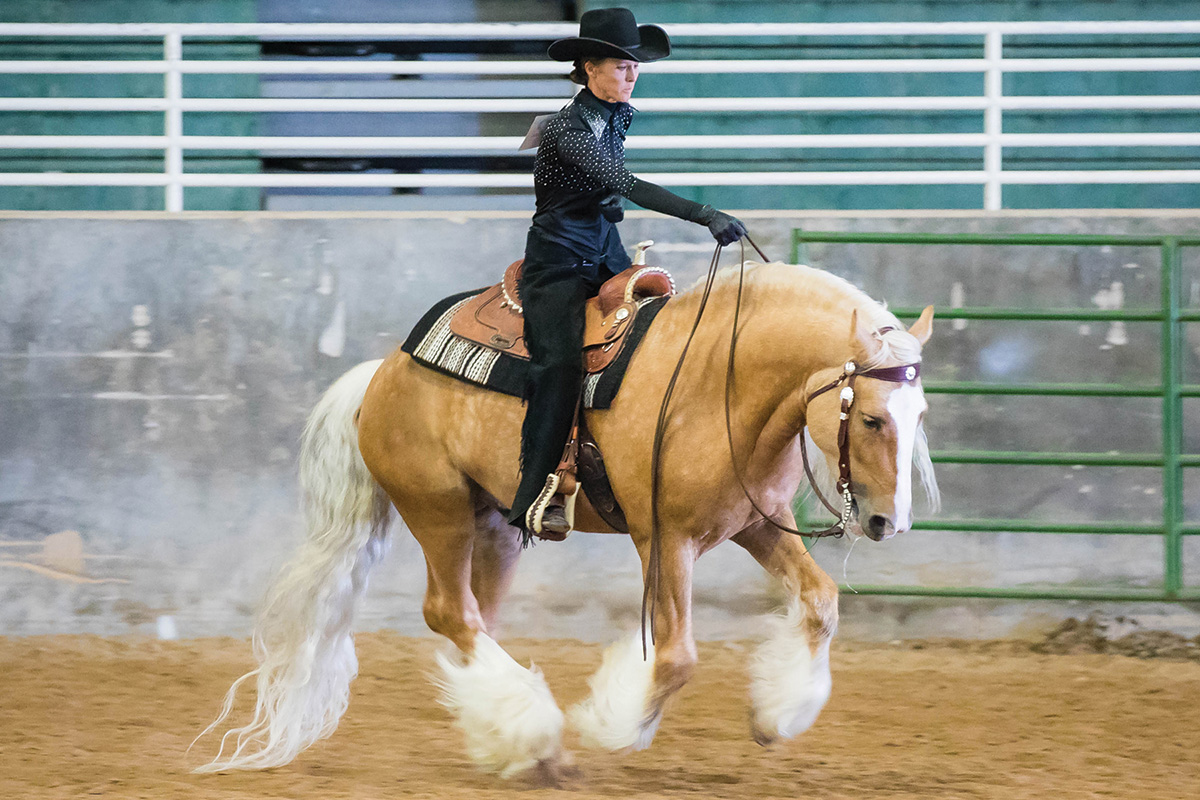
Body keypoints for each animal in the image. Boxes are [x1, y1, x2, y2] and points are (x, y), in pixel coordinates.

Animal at [196, 260, 940, 777]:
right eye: (871, 419)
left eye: (920, 414)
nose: (888, 523)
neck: (720, 382)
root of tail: (383, 375)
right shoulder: (663, 539)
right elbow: (676, 658)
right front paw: (612, 722)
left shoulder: (758, 523)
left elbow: (821, 601)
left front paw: (775, 714)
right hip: (439, 511)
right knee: (450, 612)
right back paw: (538, 737)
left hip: (496, 526)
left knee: (476, 618)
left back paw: (514, 738)